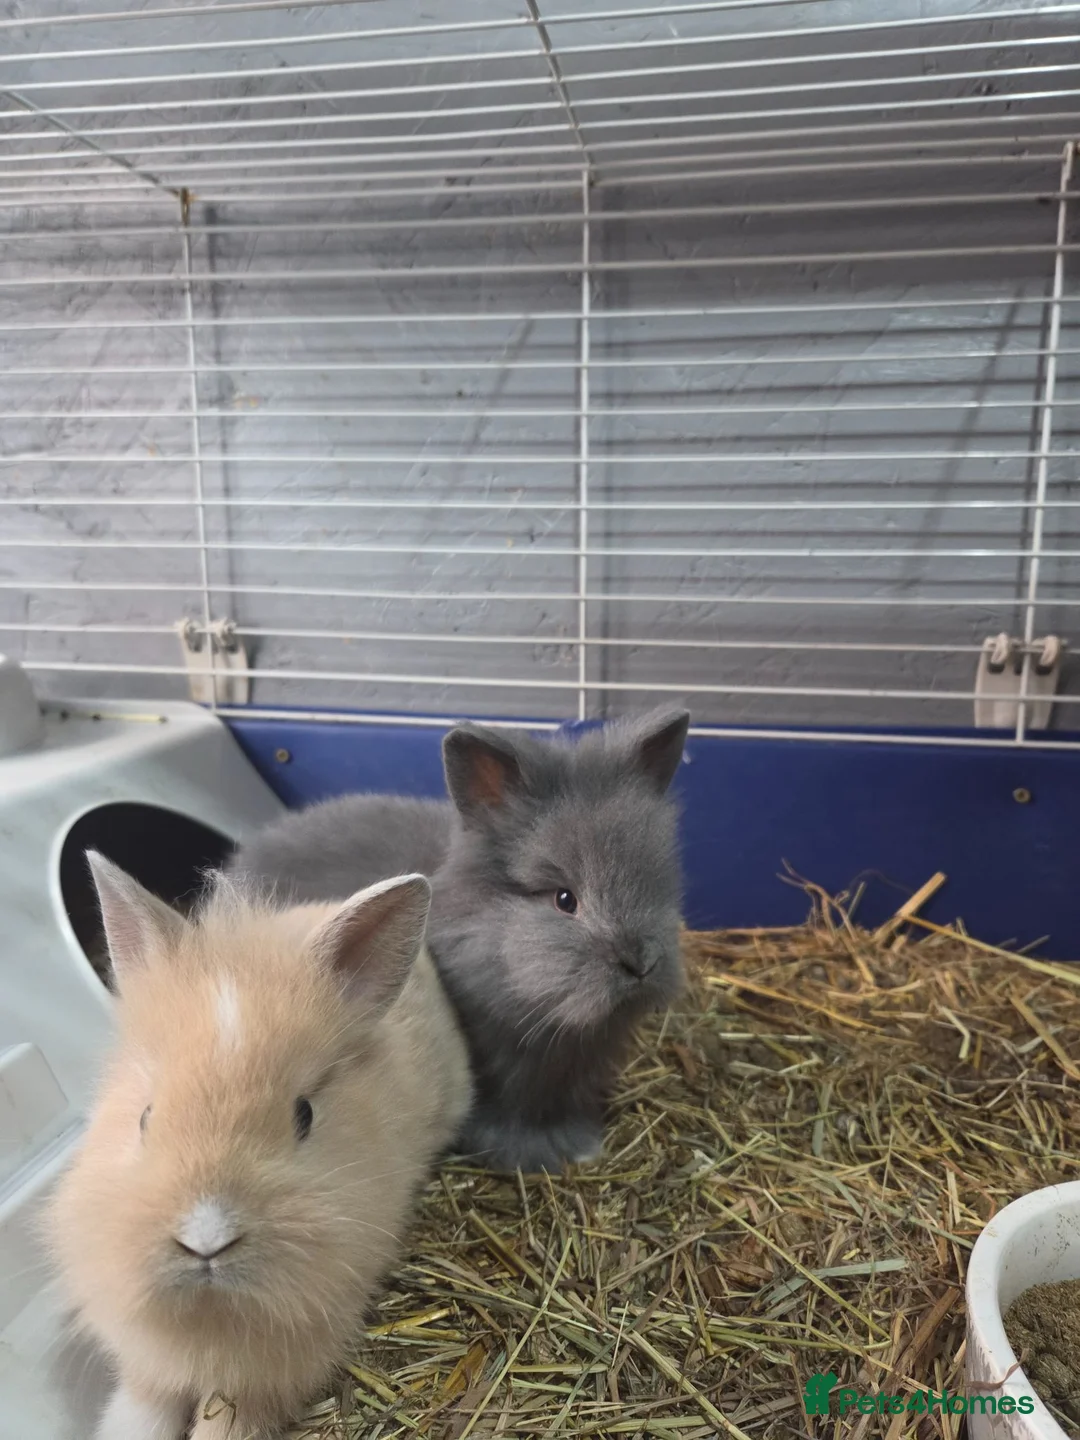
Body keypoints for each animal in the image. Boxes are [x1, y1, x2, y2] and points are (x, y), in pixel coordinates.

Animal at [45, 853, 472, 1440]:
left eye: (305, 1115)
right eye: (145, 1117)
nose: (205, 1240)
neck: (210, 1313)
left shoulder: (259, 1383)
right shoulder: (148, 1367)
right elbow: (141, 1410)